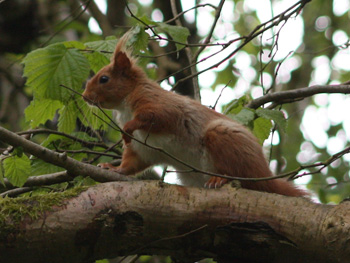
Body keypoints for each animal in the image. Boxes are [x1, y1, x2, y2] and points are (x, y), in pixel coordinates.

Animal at [82, 32, 306, 198]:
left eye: (104, 79)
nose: (84, 96)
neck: (124, 106)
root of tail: (264, 173)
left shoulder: (158, 103)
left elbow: (156, 116)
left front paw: (127, 130)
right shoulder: (143, 148)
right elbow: (132, 163)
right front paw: (113, 169)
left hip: (223, 139)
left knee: (240, 175)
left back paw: (220, 178)